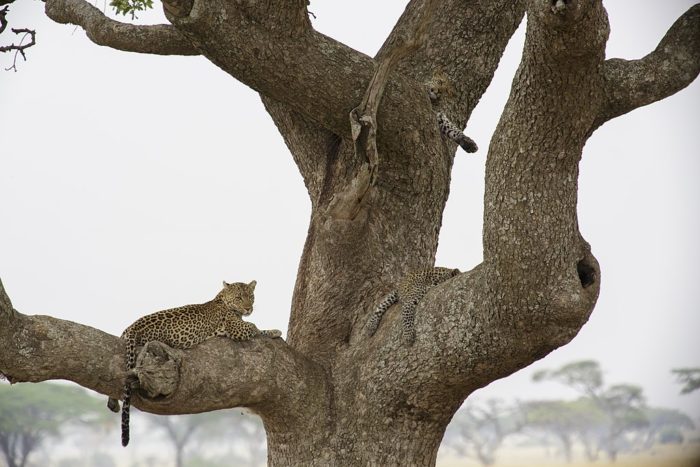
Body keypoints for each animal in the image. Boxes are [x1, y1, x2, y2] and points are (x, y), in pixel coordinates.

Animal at [107, 280, 282, 448]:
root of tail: (132, 327)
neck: (223, 299)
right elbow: (256, 327)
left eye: (250, 297)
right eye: (239, 297)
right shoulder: (237, 329)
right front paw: (274, 331)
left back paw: (112, 402)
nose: (248, 308)